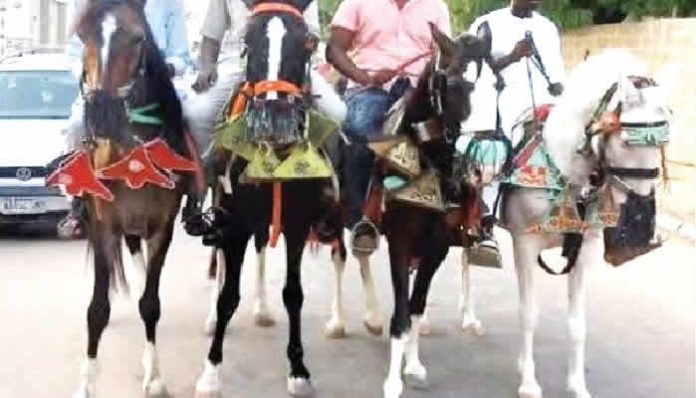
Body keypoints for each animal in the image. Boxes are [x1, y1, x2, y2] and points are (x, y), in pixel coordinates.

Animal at [460, 49, 672, 398]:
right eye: (627, 141)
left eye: (663, 142)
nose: (640, 214)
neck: (565, 171)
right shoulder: (525, 244)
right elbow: (528, 314)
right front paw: (529, 381)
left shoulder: (583, 250)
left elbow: (577, 323)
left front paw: (577, 385)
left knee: (465, 257)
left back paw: (468, 316)